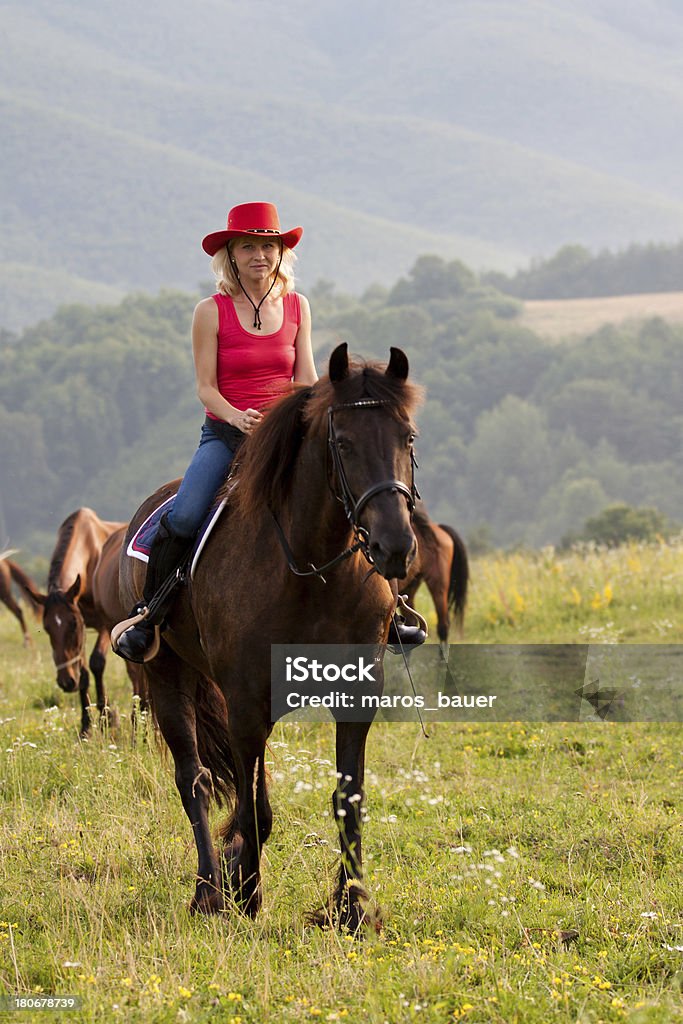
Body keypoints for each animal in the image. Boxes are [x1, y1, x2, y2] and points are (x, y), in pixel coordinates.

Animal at [31, 509, 145, 737]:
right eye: (47, 628)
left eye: (73, 624)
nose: (66, 682)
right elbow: (83, 672)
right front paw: (86, 725)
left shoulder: (103, 626)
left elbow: (96, 663)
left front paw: (107, 717)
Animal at [116, 346, 419, 929]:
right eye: (343, 443)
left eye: (407, 437)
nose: (394, 546)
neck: (311, 569)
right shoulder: (245, 701)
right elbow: (246, 803)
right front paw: (246, 893)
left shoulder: (355, 694)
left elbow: (347, 796)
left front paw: (352, 909)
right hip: (167, 675)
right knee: (195, 780)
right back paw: (209, 890)